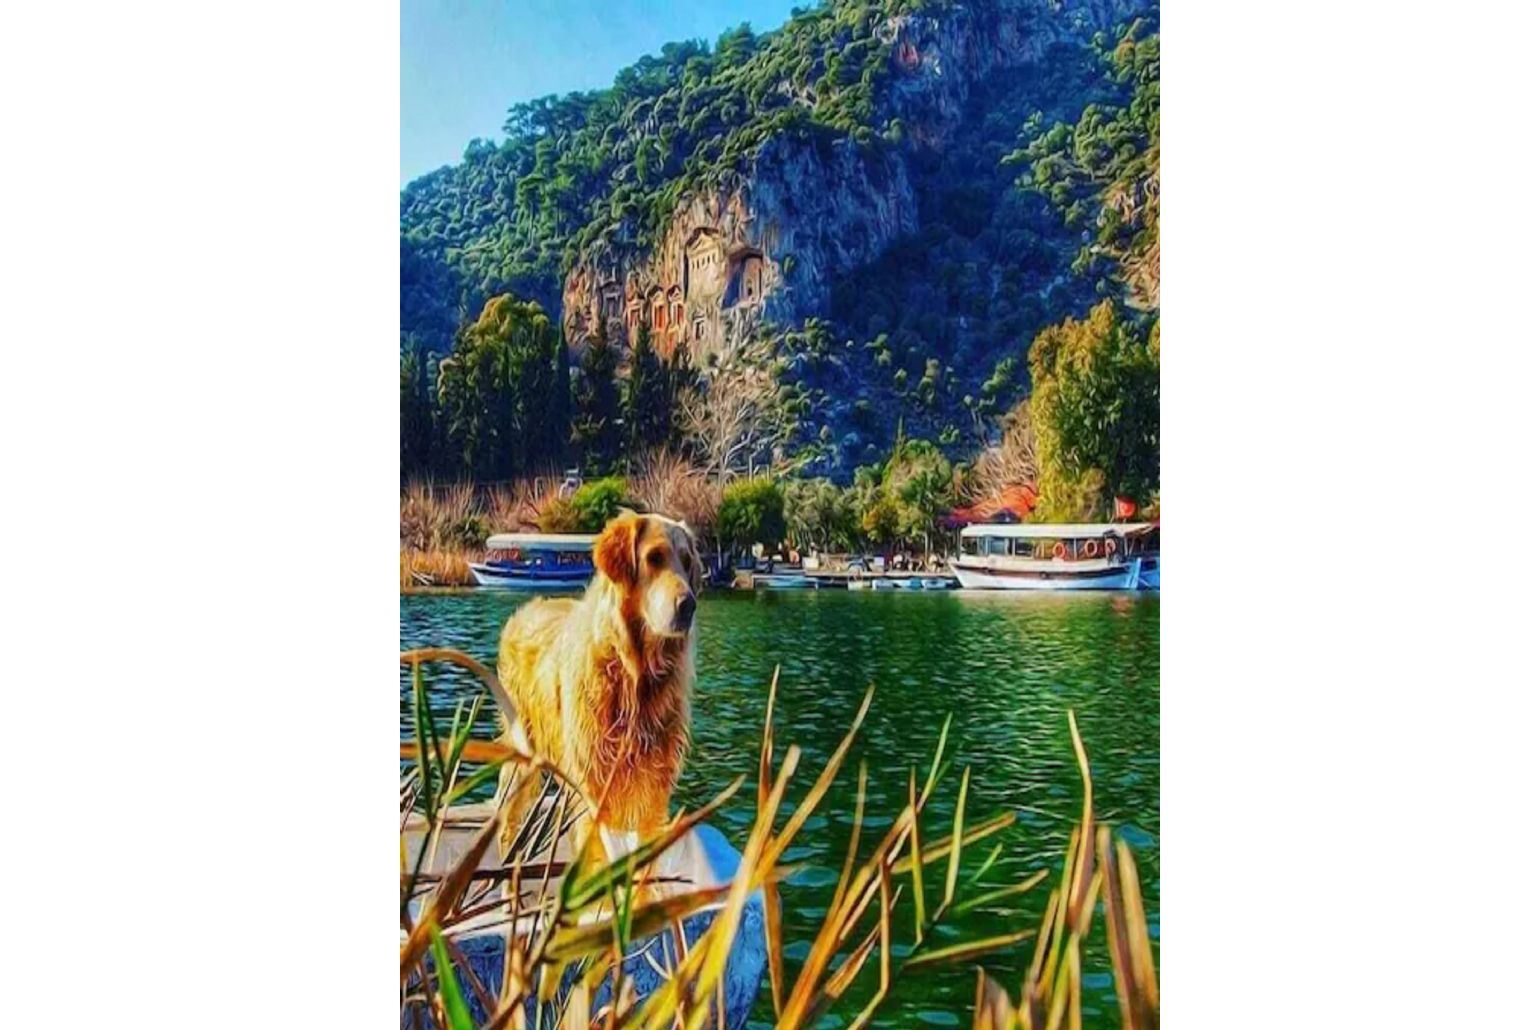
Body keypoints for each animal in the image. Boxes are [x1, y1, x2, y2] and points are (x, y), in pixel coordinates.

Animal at [492, 511, 705, 862]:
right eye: (654, 558)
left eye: (687, 562)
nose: (688, 605)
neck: (635, 674)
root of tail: (527, 609)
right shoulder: (592, 790)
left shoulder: (653, 794)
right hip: (522, 755)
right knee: (508, 825)